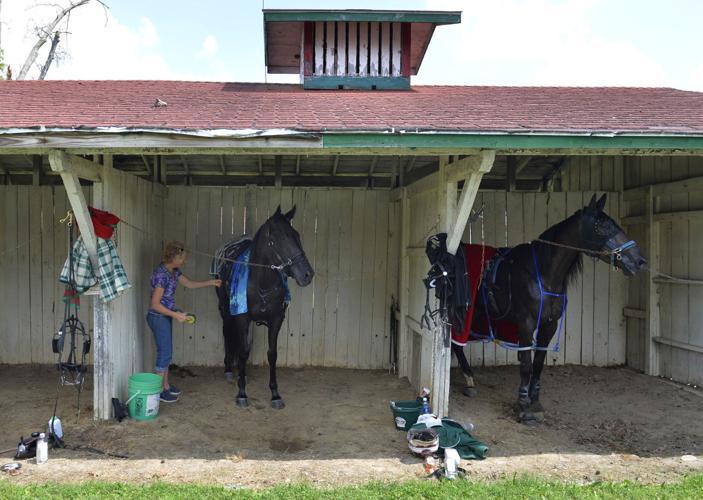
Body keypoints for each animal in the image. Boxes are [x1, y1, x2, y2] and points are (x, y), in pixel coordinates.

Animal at [214, 205, 314, 408]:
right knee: (227, 333)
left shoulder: (276, 319)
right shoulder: (242, 317)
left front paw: (275, 394)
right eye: (280, 239)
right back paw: (229, 370)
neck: (261, 282)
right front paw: (242, 393)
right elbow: (244, 351)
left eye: (297, 235)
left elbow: (272, 354)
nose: (307, 274)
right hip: (226, 310)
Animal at [454, 193, 648, 424]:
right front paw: (523, 406)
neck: (543, 276)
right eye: (601, 226)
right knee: (455, 343)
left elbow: (538, 363)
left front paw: (535, 401)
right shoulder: (526, 324)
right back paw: (467, 379)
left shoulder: (549, 325)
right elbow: (526, 365)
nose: (639, 261)